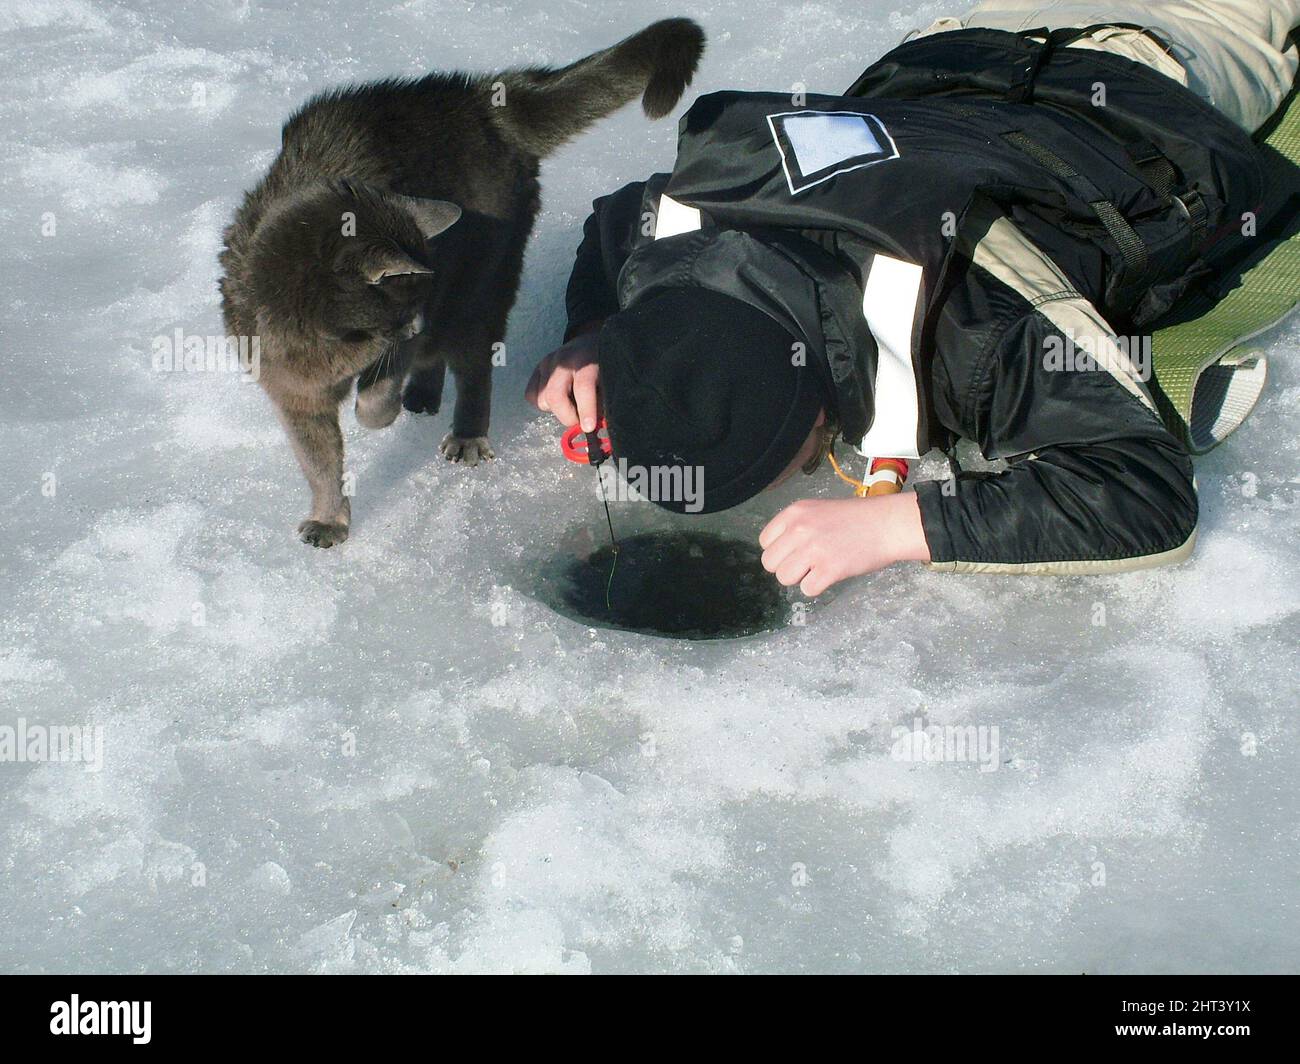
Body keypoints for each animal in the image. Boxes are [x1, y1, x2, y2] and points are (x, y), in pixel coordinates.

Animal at [215, 20, 702, 543]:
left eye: (408, 306)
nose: (415, 322)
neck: (332, 346)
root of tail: (479, 99)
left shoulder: (406, 331)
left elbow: (376, 399)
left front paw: (375, 412)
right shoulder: (292, 393)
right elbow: (319, 463)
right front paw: (329, 520)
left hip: (482, 280)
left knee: (472, 362)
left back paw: (464, 434)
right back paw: (422, 397)